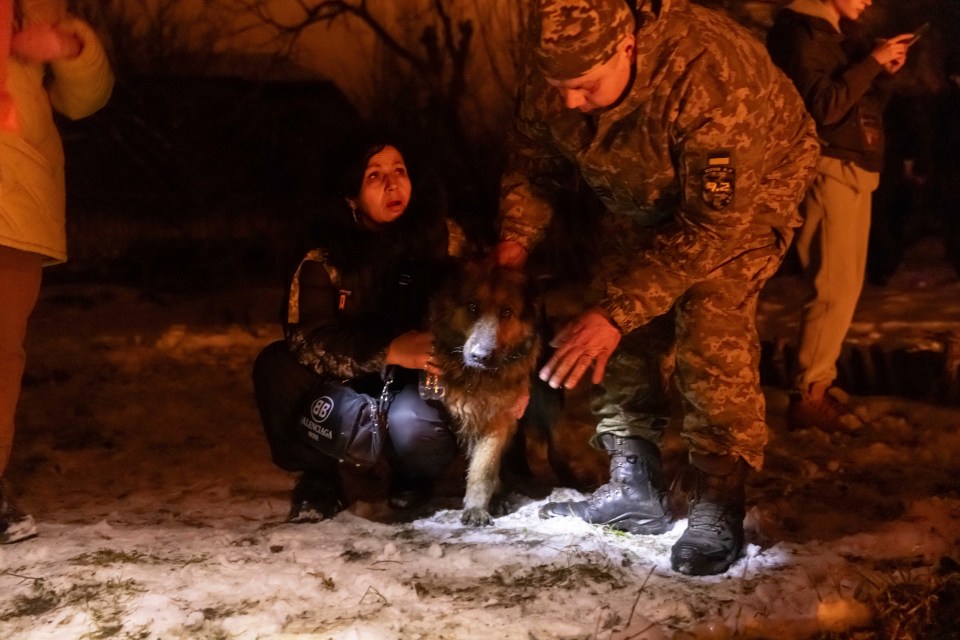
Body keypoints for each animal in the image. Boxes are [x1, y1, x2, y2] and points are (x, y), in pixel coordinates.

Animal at [434, 260, 544, 524]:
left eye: (506, 312)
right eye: (473, 307)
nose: (481, 356)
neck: (480, 379)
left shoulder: (499, 420)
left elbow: (482, 470)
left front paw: (476, 507)